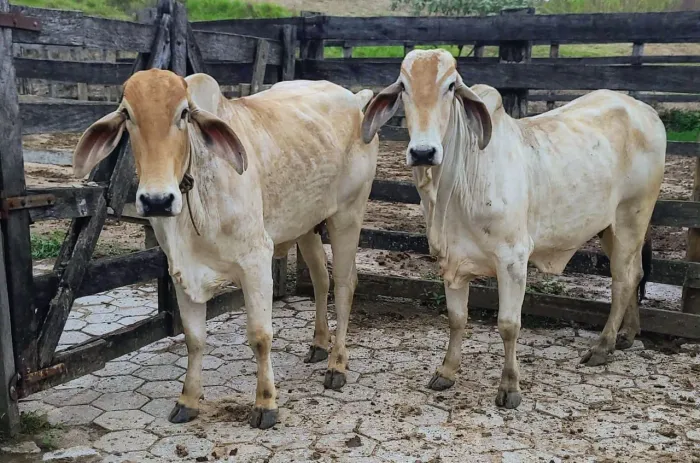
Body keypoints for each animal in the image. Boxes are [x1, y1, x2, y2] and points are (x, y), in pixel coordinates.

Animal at [72, 69, 379, 428]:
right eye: (127, 115)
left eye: (183, 114)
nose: (157, 200)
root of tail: (355, 98)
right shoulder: (180, 271)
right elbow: (194, 338)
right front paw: (188, 400)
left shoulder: (256, 261)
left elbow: (260, 336)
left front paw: (265, 404)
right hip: (306, 224)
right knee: (321, 279)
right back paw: (319, 344)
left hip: (347, 215)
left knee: (344, 285)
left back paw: (337, 364)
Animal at [361, 49, 665, 409]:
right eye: (404, 87)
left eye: (450, 86)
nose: (423, 152)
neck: (457, 184)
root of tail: (645, 110)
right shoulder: (450, 260)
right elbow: (456, 318)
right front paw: (447, 372)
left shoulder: (513, 259)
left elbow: (508, 324)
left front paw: (509, 387)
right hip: (609, 228)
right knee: (635, 273)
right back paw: (627, 335)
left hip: (632, 217)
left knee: (623, 280)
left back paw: (603, 346)